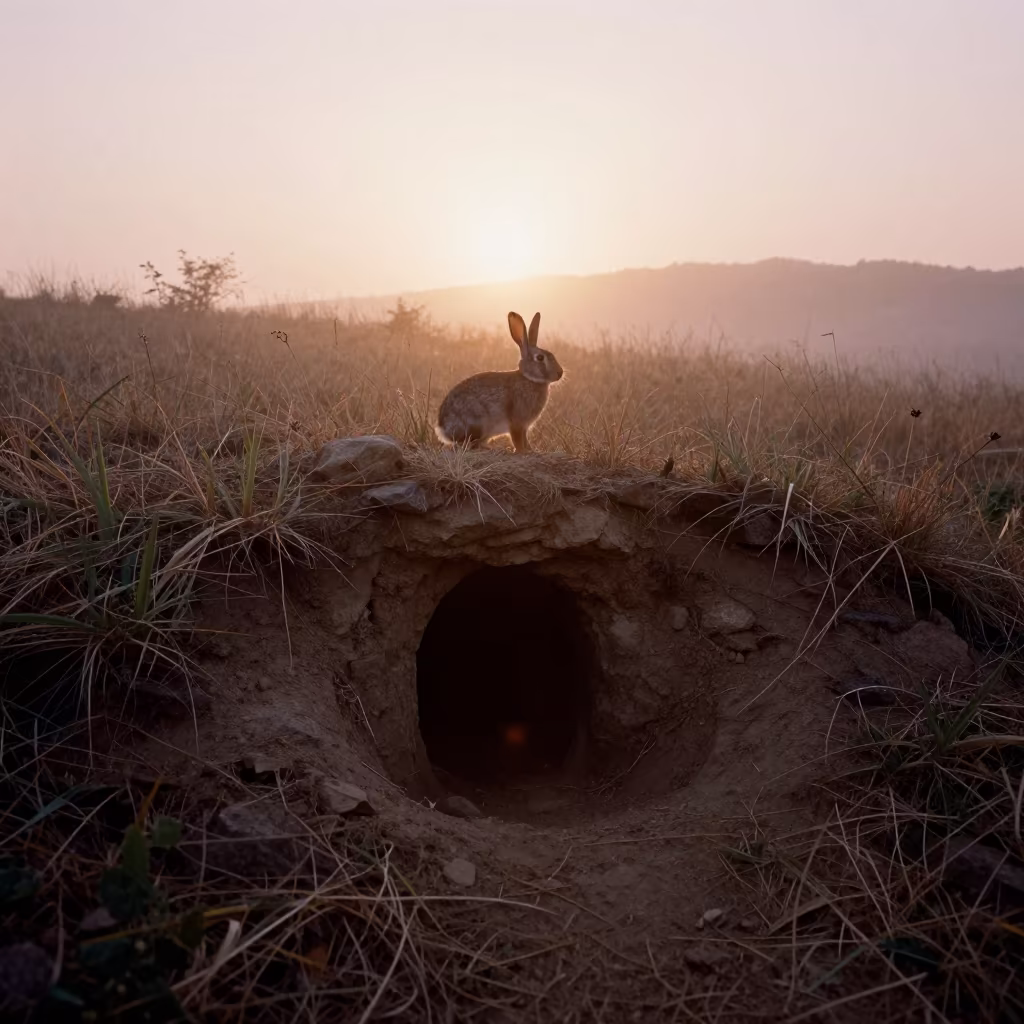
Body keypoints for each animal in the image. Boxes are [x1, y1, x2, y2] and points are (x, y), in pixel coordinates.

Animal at [436, 311, 563, 453]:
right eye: (540, 358)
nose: (560, 373)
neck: (529, 379)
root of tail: (443, 428)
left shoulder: (524, 426)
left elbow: (525, 439)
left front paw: (531, 450)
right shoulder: (517, 422)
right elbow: (517, 439)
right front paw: (522, 451)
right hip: (477, 423)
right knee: (468, 445)